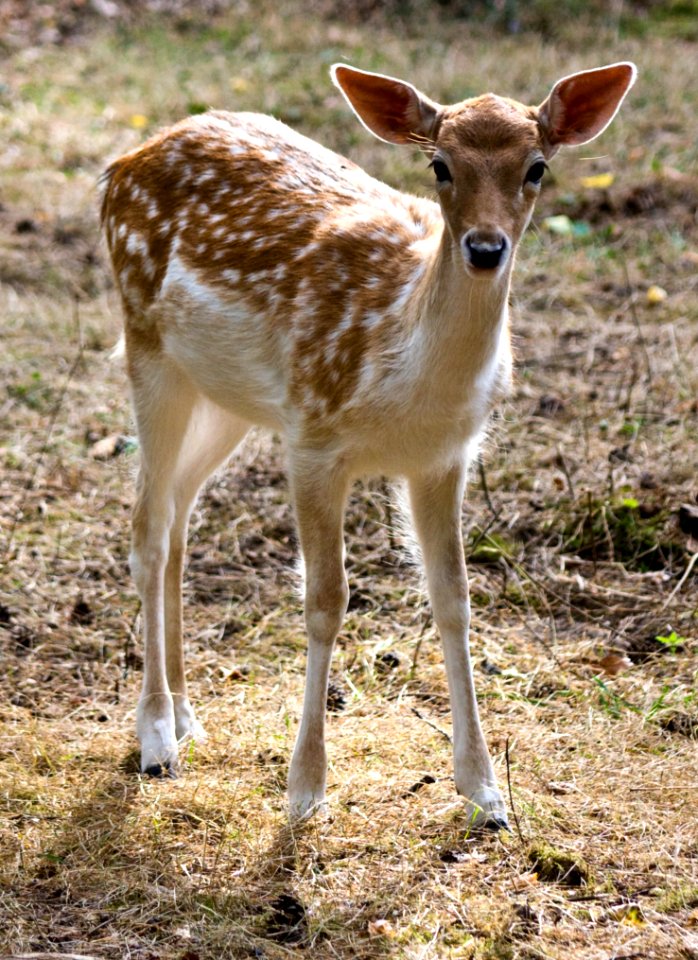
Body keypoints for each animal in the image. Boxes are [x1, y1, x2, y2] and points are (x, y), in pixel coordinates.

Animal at [100, 60, 632, 828]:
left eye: (537, 167)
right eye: (440, 164)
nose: (485, 249)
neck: (406, 374)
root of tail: (123, 164)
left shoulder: (445, 456)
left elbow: (453, 597)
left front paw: (485, 792)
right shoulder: (313, 436)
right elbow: (326, 600)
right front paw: (304, 791)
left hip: (228, 398)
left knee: (176, 519)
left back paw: (187, 715)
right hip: (146, 344)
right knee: (146, 526)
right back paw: (156, 739)